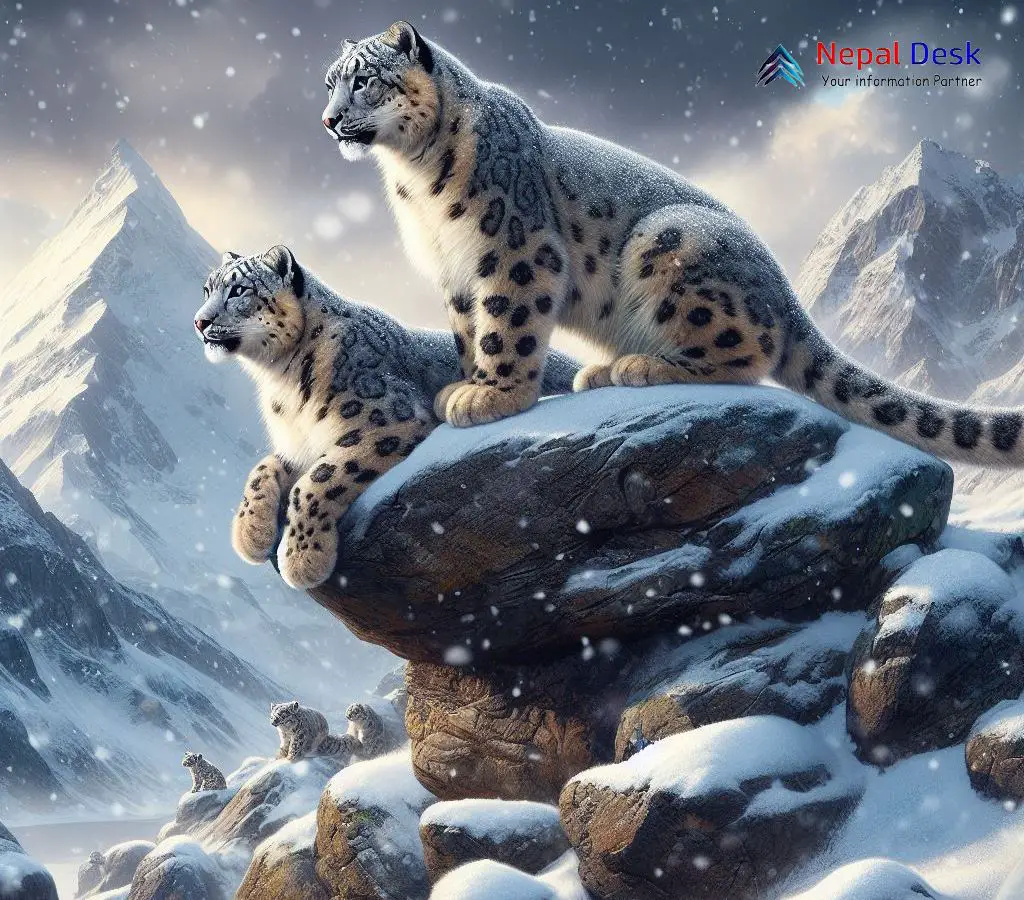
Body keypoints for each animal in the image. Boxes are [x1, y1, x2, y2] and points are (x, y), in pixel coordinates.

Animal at [194, 245, 577, 589]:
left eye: (239, 290)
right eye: (208, 290)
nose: (200, 321)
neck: (281, 379)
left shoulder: (390, 421)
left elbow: (316, 480)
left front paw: (303, 559)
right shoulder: (300, 445)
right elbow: (263, 466)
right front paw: (250, 533)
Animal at [318, 20, 1024, 466]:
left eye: (365, 80)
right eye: (330, 81)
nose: (328, 121)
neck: (414, 179)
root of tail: (783, 287)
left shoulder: (515, 248)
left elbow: (508, 326)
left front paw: (492, 394)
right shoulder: (457, 270)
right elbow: (472, 329)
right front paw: (465, 384)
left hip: (671, 242)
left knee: (749, 355)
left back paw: (640, 367)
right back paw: (603, 370)